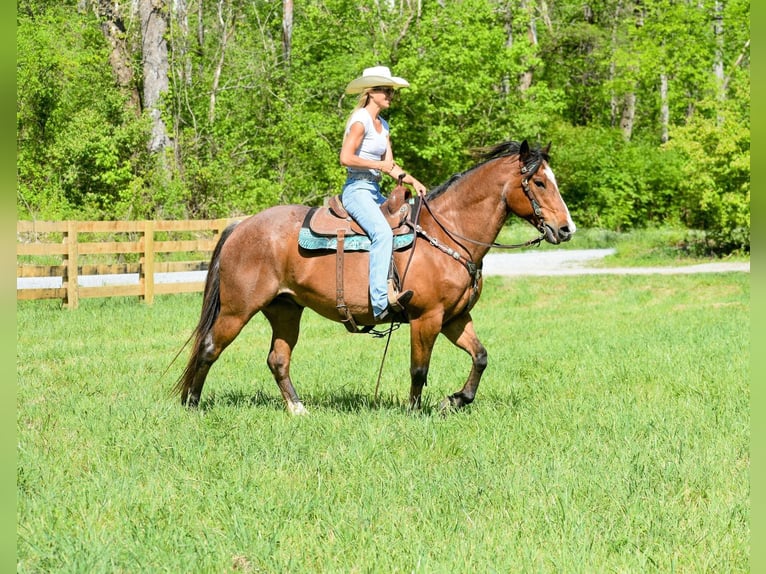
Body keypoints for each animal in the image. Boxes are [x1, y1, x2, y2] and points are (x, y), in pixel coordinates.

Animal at [174, 142, 576, 416]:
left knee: (278, 359)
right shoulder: (427, 318)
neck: (447, 235)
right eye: (540, 182)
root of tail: (241, 226)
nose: (566, 229)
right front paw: (416, 411)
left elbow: (480, 357)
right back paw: (192, 404)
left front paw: (457, 399)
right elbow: (419, 368)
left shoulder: (455, 318)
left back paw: (298, 408)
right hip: (237, 310)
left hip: (285, 310)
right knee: (209, 347)